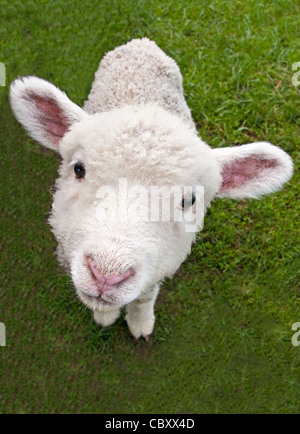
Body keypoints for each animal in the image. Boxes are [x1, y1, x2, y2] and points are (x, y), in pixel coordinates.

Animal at [9, 38, 292, 340]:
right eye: (79, 169)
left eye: (189, 200)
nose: (106, 275)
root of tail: (142, 43)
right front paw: (105, 316)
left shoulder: (159, 264)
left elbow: (144, 297)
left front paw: (140, 322)